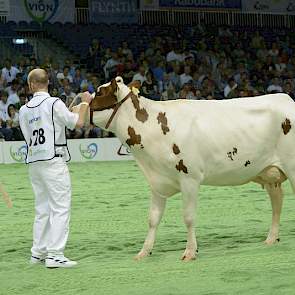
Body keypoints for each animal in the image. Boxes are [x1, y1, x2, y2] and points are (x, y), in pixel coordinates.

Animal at [88, 77, 295, 262]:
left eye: (99, 93)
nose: (82, 105)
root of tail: (286, 98)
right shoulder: (157, 182)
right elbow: (153, 218)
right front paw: (144, 252)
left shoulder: (190, 178)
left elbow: (188, 217)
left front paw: (190, 252)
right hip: (269, 173)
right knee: (277, 203)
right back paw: (271, 239)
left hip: (291, 167)